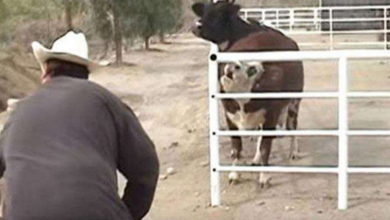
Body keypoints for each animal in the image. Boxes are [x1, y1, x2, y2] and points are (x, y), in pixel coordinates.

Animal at [192, 0, 304, 188]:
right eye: (204, 10)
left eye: (219, 12)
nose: (196, 26)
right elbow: (238, 145)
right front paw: (235, 171)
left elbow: (265, 145)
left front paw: (263, 175)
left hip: (295, 100)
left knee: (292, 124)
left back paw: (293, 151)